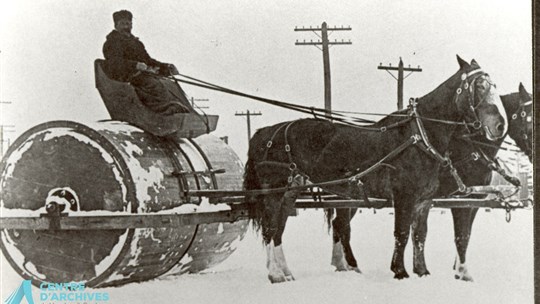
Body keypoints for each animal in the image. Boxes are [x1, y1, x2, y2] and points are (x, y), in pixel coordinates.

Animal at [245, 55, 510, 282]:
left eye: (494, 86)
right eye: (479, 86)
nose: (500, 125)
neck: (419, 137)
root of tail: (265, 133)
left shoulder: (424, 201)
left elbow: (420, 235)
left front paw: (422, 272)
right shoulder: (405, 197)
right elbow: (403, 234)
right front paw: (400, 271)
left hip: (291, 192)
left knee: (280, 230)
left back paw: (287, 271)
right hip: (274, 192)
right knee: (270, 228)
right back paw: (275, 274)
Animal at [412, 82, 532, 282]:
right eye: (529, 119)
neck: (471, 147)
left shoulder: (475, 200)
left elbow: (466, 234)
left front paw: (459, 269)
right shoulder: (460, 200)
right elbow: (461, 236)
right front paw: (462, 272)